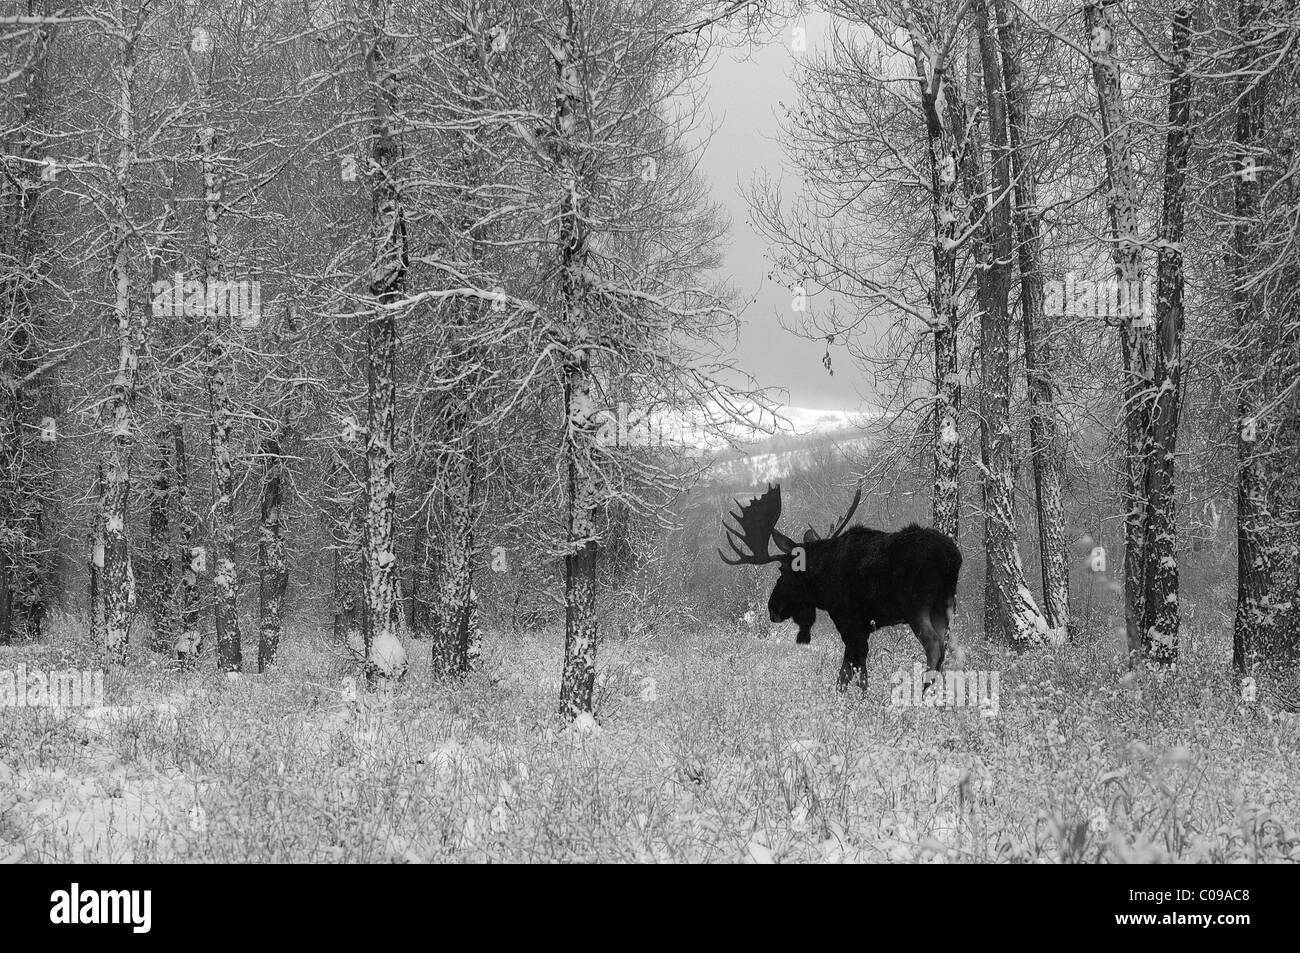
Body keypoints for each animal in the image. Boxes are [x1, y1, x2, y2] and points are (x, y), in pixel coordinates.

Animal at [719, 483, 961, 692]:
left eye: (782, 570)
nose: (772, 608)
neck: (822, 585)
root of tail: (952, 556)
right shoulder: (863, 627)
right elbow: (852, 670)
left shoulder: (848, 620)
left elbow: (849, 674)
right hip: (945, 605)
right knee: (950, 647)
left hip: (916, 606)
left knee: (934, 645)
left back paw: (923, 693)